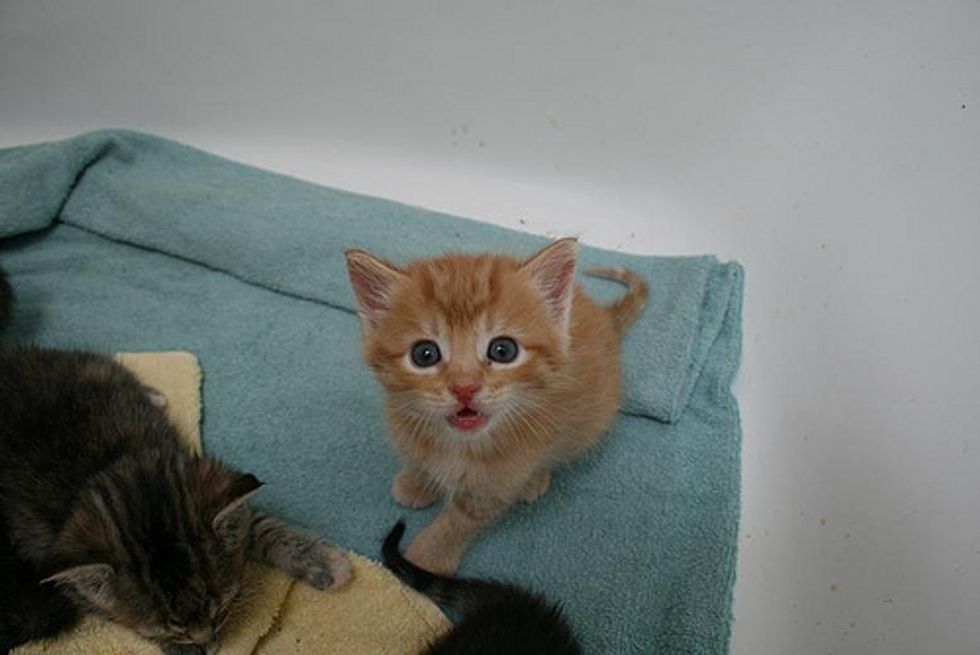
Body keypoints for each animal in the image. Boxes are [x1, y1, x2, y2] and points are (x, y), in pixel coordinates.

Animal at [0, 268, 351, 655]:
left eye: (221, 609)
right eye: (174, 629)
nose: (208, 640)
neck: (103, 467)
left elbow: (255, 521)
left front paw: (318, 559)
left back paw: (152, 395)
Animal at [345, 238, 647, 574]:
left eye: (503, 350)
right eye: (424, 354)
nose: (464, 387)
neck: (459, 444)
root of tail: (605, 319)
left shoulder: (496, 483)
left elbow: (461, 520)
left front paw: (428, 556)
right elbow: (418, 458)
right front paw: (416, 483)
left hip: (588, 423)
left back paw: (535, 480)